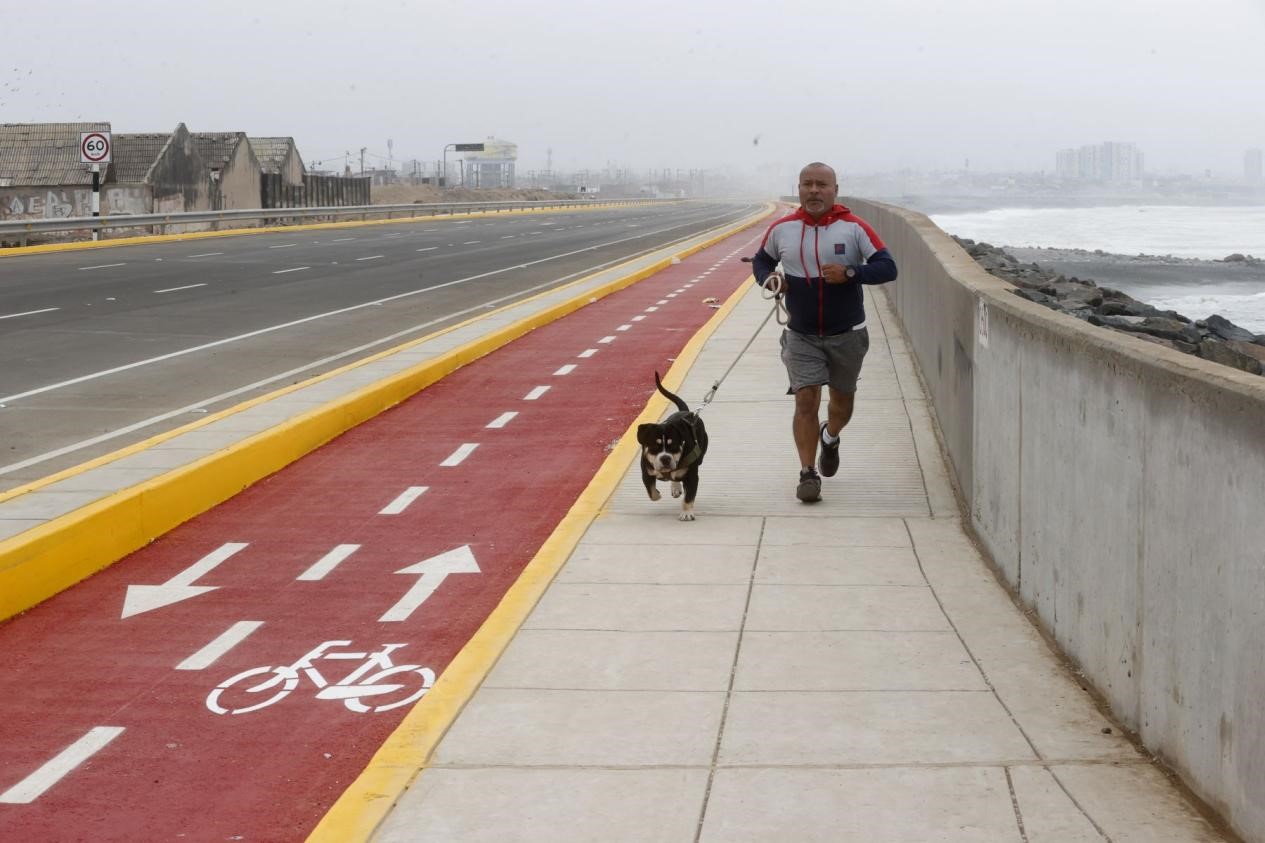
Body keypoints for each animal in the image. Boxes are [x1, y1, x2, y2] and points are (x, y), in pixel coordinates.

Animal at [637, 372, 708, 518]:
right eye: (654, 447)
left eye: (673, 446)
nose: (665, 458)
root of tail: (687, 413)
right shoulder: (646, 472)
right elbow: (651, 492)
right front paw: (657, 494)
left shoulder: (692, 477)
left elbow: (689, 497)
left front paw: (686, 513)